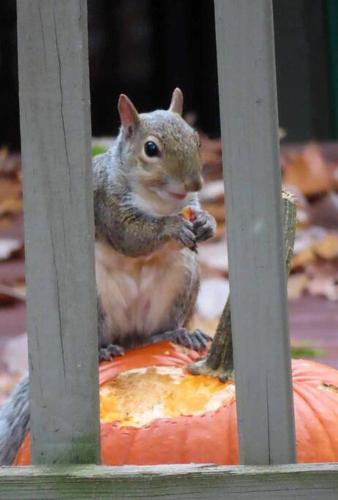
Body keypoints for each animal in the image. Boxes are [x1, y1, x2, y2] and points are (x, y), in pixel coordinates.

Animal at [0, 87, 217, 464]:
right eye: (150, 149)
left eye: (197, 138)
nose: (195, 182)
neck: (159, 201)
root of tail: (129, 337)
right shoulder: (109, 207)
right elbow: (133, 237)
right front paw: (171, 227)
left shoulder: (188, 203)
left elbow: (196, 213)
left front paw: (206, 223)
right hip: (97, 301)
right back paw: (104, 351)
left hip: (180, 280)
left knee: (153, 334)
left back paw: (178, 334)